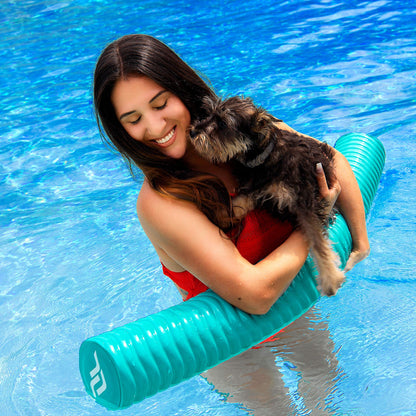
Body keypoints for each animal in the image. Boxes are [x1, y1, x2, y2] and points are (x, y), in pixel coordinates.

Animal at [189, 96, 344, 296]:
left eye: (223, 123)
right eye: (207, 113)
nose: (192, 131)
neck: (265, 157)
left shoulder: (304, 201)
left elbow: (317, 239)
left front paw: (330, 278)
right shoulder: (256, 188)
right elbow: (238, 202)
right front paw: (218, 213)